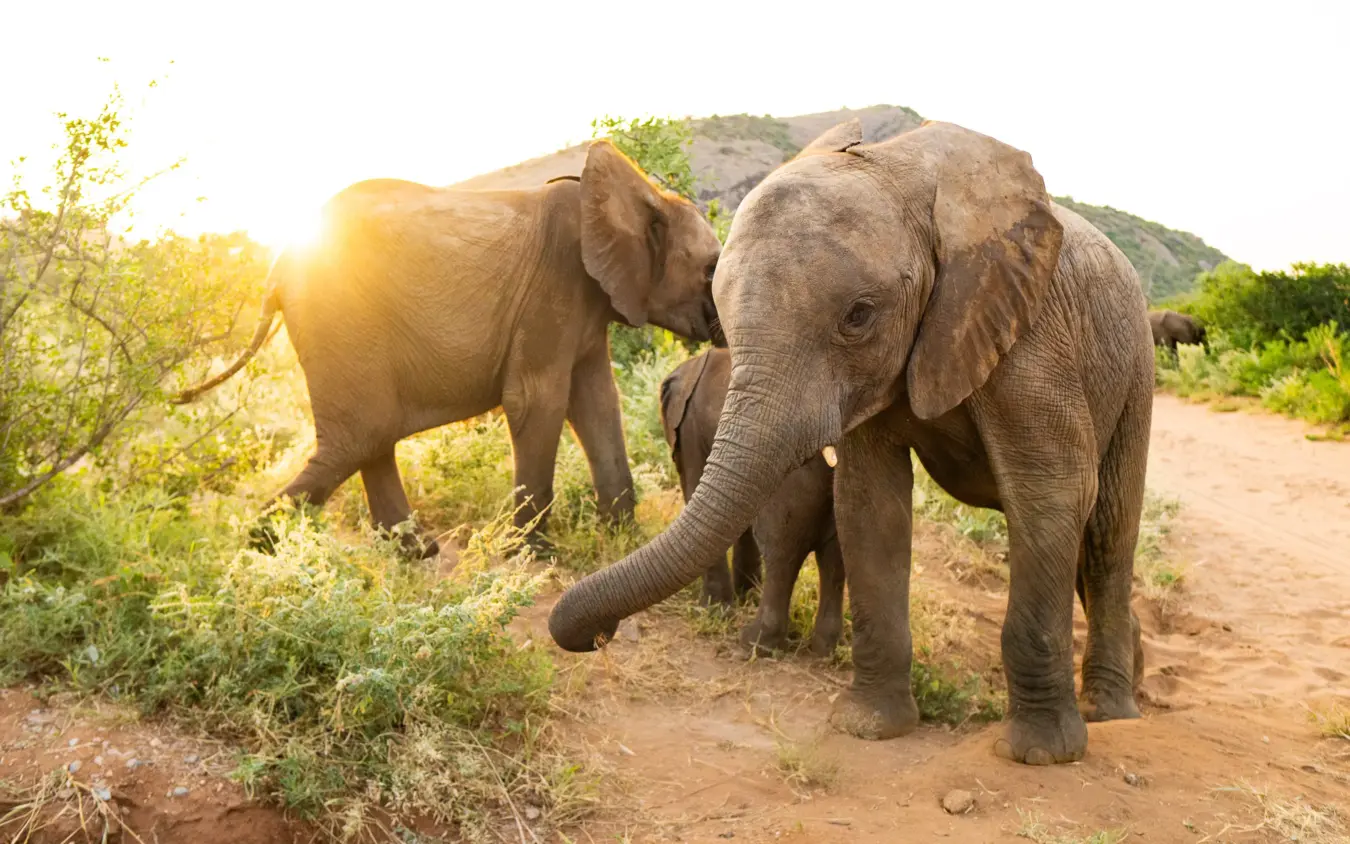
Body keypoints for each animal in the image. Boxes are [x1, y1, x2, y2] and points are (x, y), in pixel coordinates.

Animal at [173, 140, 723, 557]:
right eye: (712, 270)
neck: (642, 195)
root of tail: (277, 268)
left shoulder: (591, 308)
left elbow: (598, 404)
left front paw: (624, 539)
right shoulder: (555, 288)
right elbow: (536, 400)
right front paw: (533, 556)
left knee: (371, 434)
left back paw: (414, 552)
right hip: (338, 311)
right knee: (362, 434)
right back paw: (258, 548)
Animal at [660, 347, 845, 656]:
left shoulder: (690, 429)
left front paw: (713, 610)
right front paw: (744, 597)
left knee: (782, 549)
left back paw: (756, 643)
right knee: (835, 553)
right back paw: (826, 650)